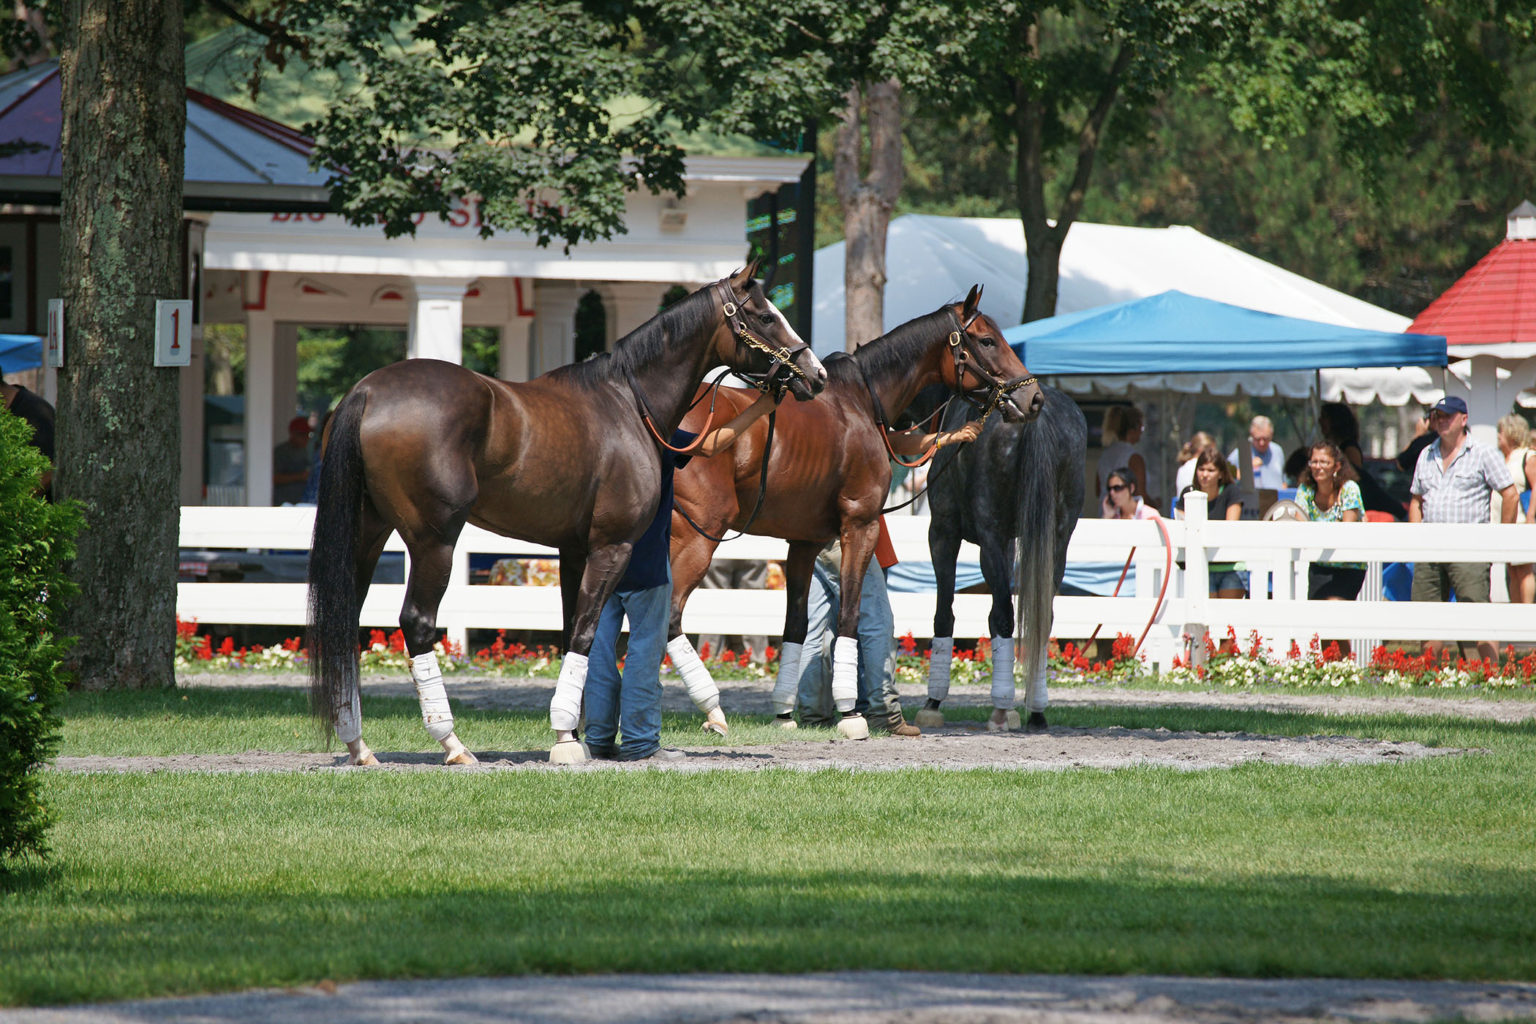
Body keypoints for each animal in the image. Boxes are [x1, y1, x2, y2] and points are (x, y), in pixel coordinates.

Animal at [304, 264, 823, 761]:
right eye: (764, 316)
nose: (813, 374)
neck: (627, 404)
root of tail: (367, 392)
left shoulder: (573, 552)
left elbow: (573, 628)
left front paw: (575, 733)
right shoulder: (611, 548)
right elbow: (585, 635)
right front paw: (565, 740)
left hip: (367, 532)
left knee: (346, 620)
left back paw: (358, 745)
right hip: (435, 542)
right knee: (416, 622)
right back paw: (452, 744)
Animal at [669, 284, 1044, 739]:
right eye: (987, 340)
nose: (1034, 397)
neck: (860, 402)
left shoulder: (804, 542)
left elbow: (797, 626)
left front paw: (783, 713)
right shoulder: (859, 526)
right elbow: (849, 615)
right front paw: (850, 713)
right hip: (696, 537)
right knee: (669, 614)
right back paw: (711, 709)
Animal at [915, 382, 1087, 727]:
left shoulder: (943, 532)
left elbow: (944, 615)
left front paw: (933, 701)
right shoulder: (1007, 542)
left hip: (986, 539)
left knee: (1006, 616)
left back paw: (1003, 708)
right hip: (1057, 542)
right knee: (1041, 619)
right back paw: (1035, 709)